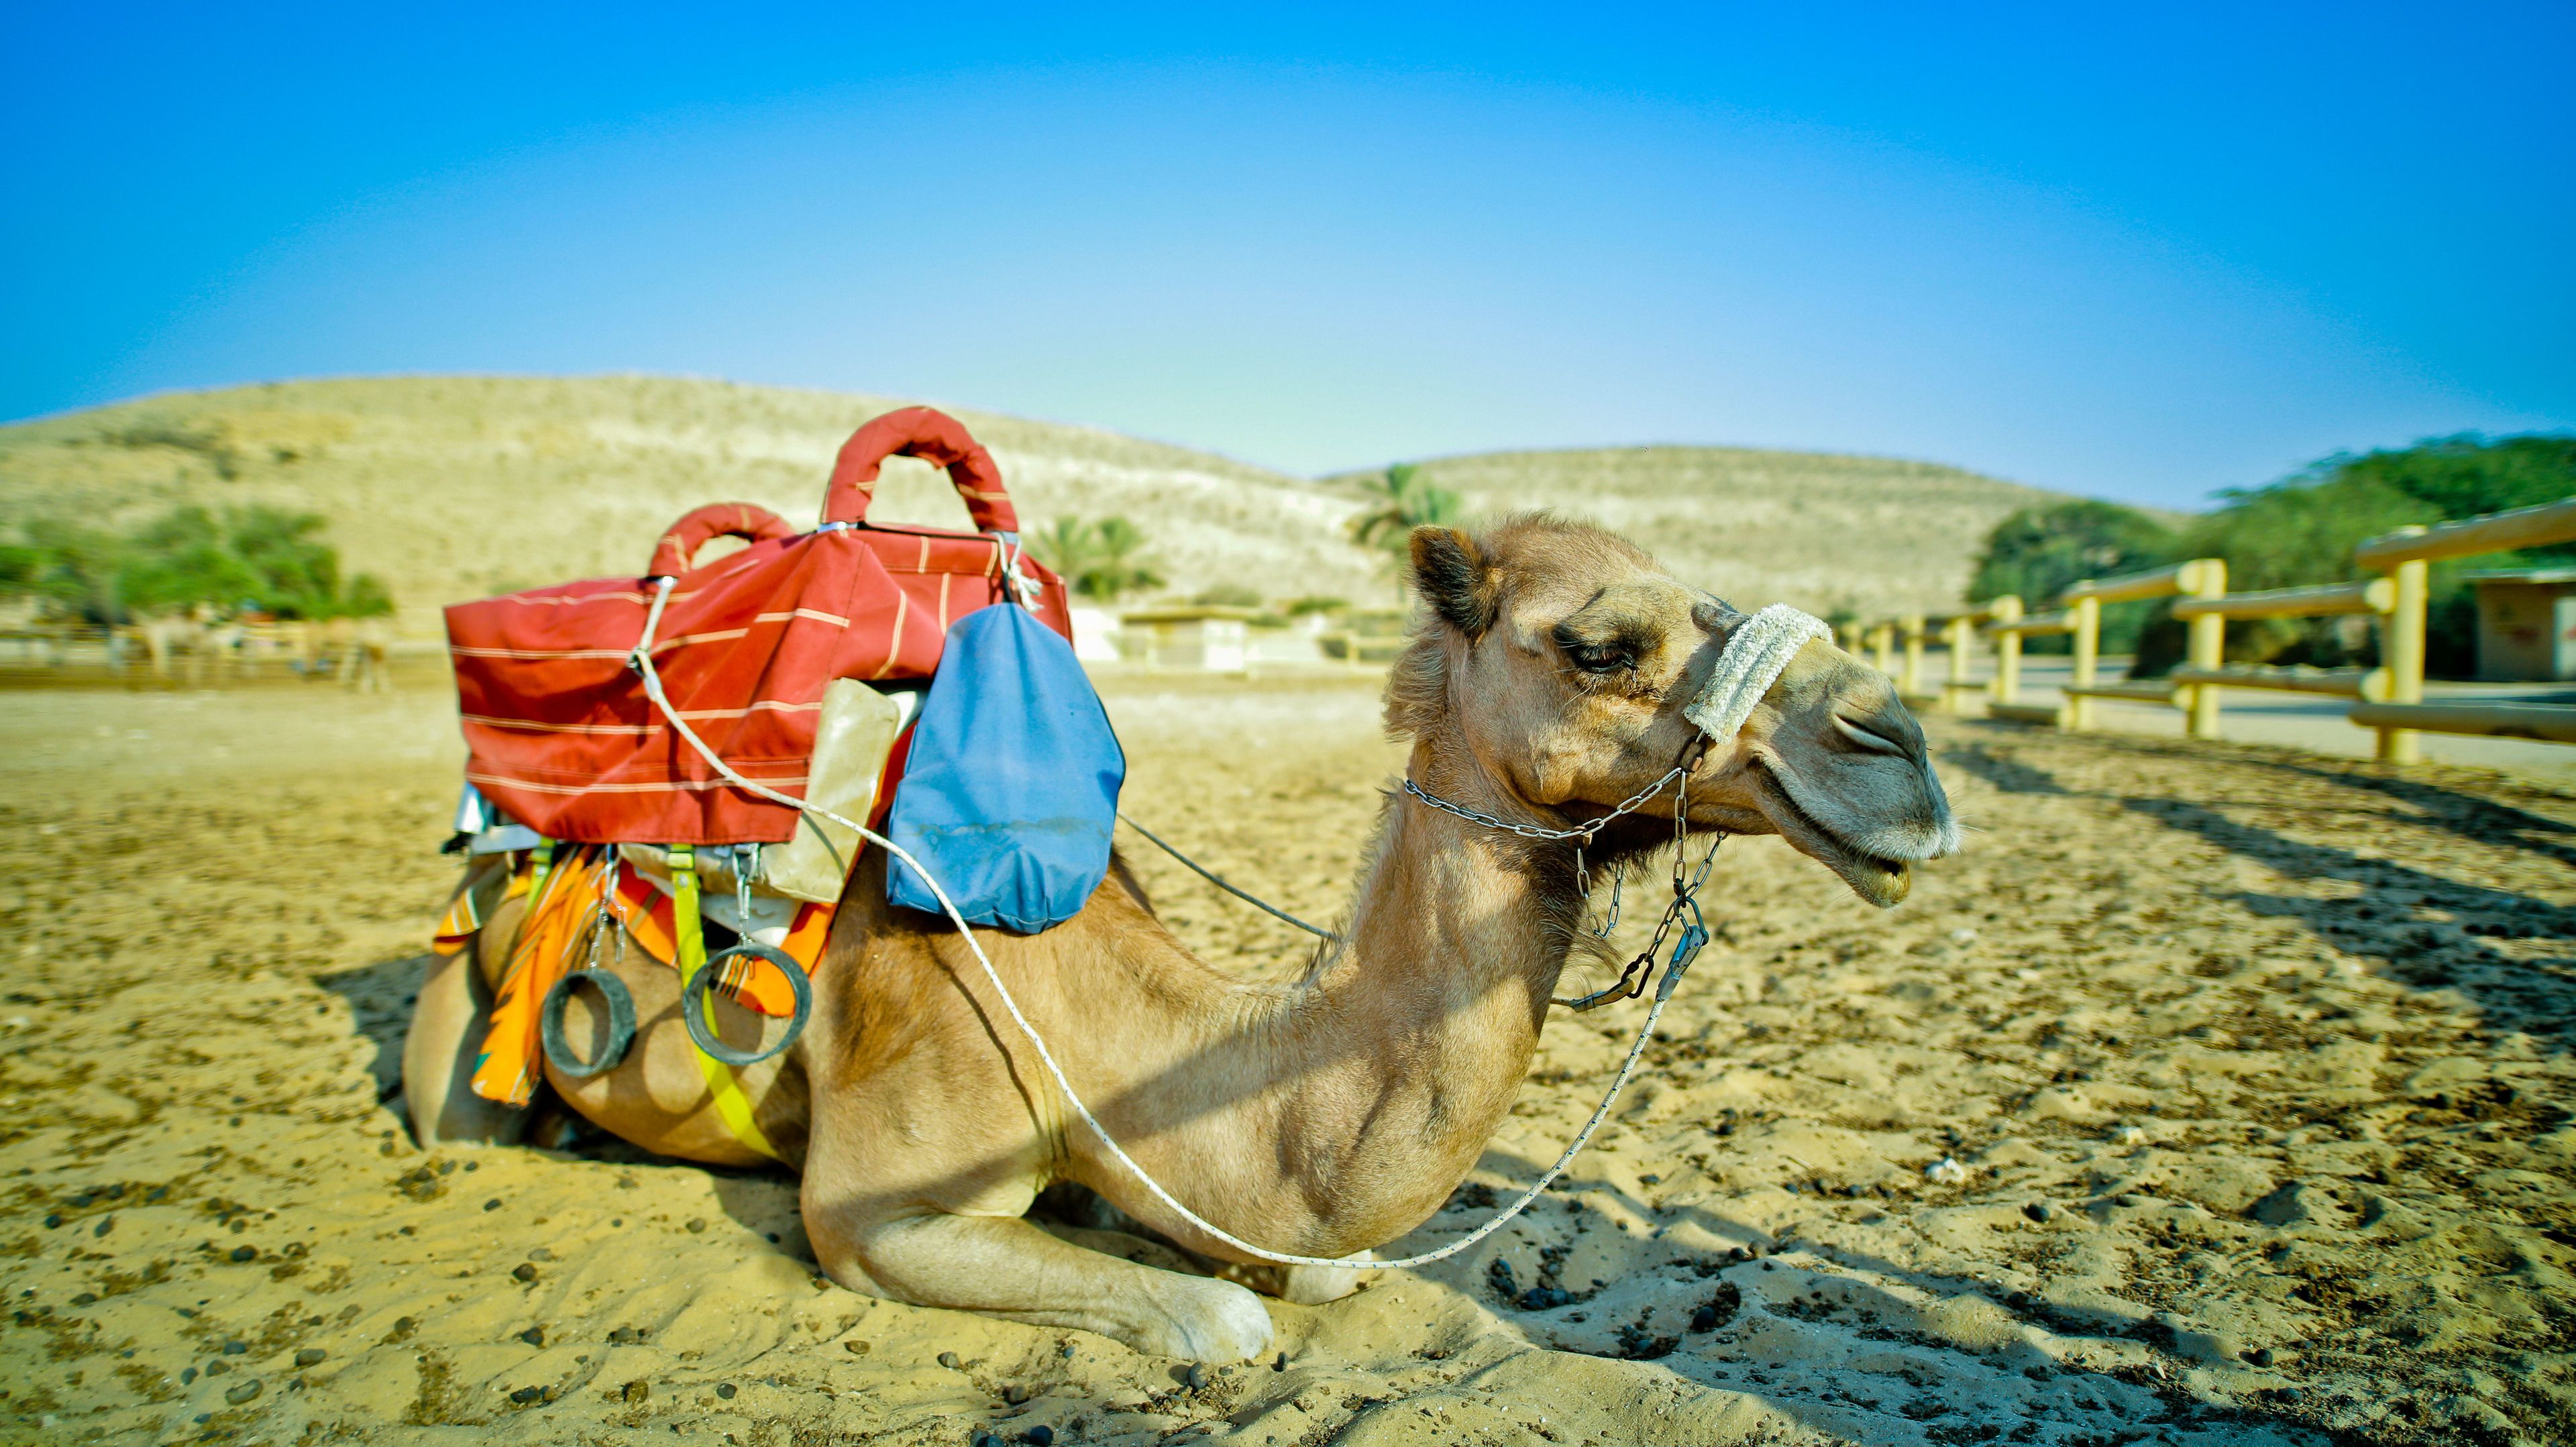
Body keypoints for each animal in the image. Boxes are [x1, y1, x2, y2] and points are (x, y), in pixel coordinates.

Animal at [402, 516, 1960, 1362]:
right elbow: (1226, 1319)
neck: (1100, 1003)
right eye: (1601, 644)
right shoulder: (864, 1205)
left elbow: (1317, 1262)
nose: (1902, 752)